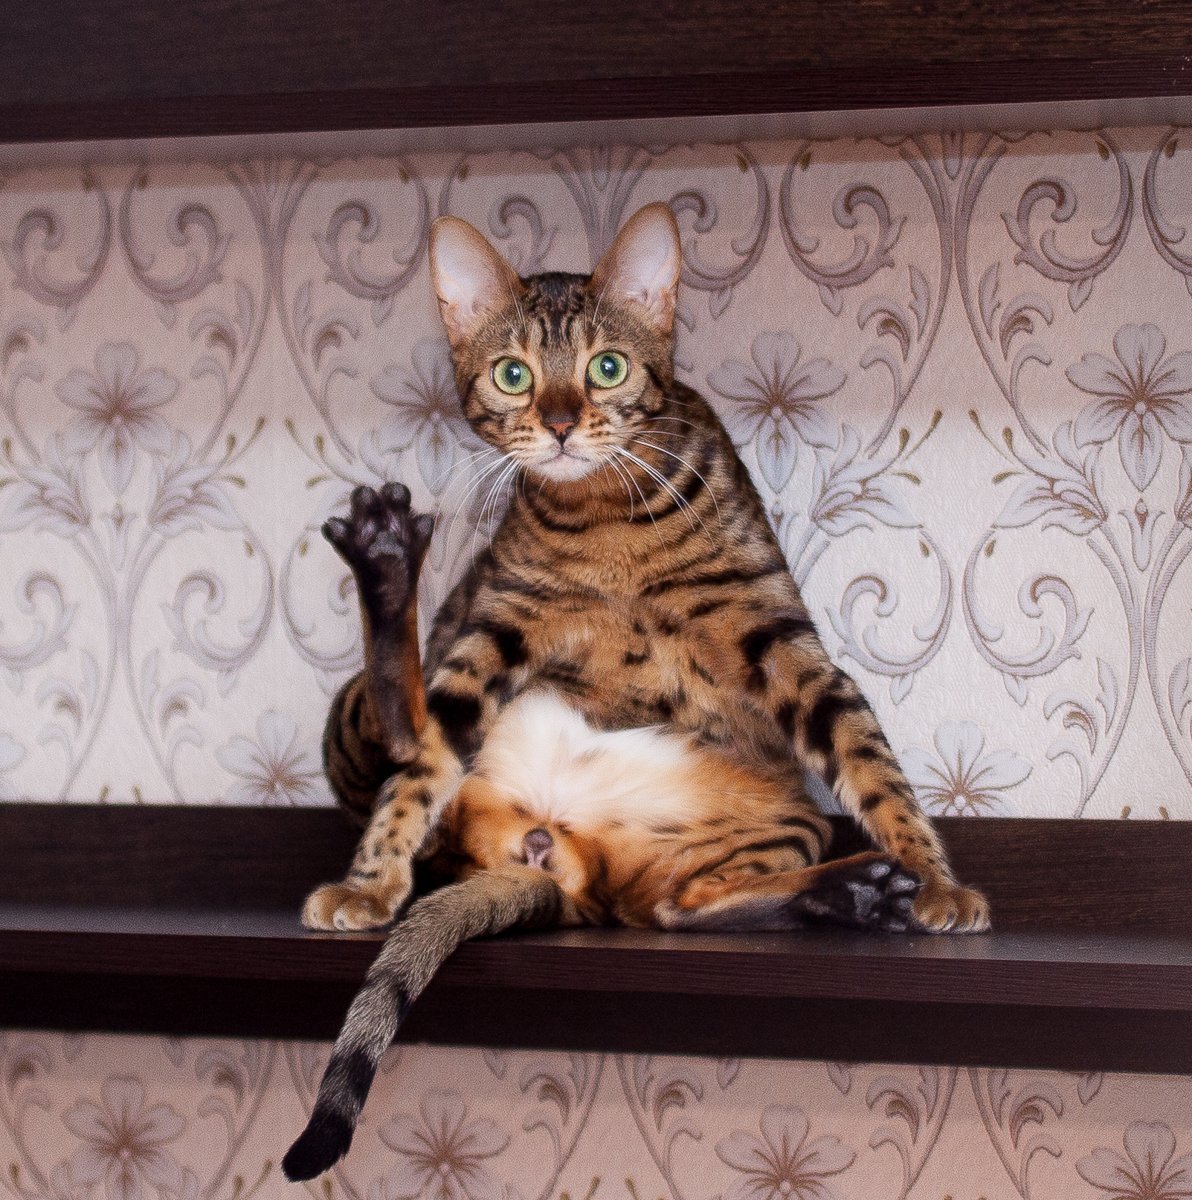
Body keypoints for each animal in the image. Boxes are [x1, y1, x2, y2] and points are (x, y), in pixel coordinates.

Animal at [282, 202, 989, 1182]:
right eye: (513, 375)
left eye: (606, 368)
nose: (561, 424)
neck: (608, 522)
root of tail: (552, 855)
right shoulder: (496, 625)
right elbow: (414, 777)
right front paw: (371, 882)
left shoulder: (782, 641)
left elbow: (868, 759)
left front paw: (936, 880)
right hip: (392, 702)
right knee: (412, 726)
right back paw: (386, 566)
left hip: (785, 819)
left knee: (669, 906)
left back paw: (851, 891)